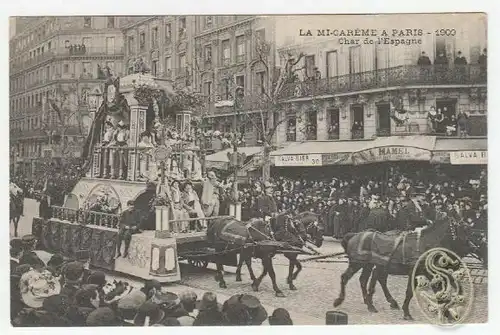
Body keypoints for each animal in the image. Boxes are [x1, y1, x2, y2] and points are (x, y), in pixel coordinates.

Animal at [332, 214, 472, 322]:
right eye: (463, 228)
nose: (471, 245)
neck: (425, 244)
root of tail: (354, 235)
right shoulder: (414, 272)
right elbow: (410, 292)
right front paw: (407, 313)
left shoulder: (429, 273)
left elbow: (439, 292)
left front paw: (448, 313)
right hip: (357, 263)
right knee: (346, 278)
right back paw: (339, 300)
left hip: (368, 265)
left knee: (364, 280)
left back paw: (371, 304)